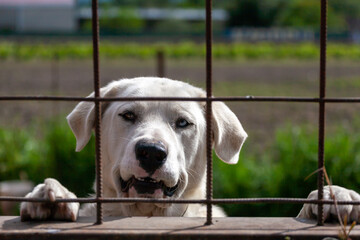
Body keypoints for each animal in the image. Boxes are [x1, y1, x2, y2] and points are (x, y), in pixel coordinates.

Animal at [20, 78, 360, 222]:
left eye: (183, 123)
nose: (152, 152)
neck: (149, 214)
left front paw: (333, 197)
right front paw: (50, 194)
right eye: (128, 115)